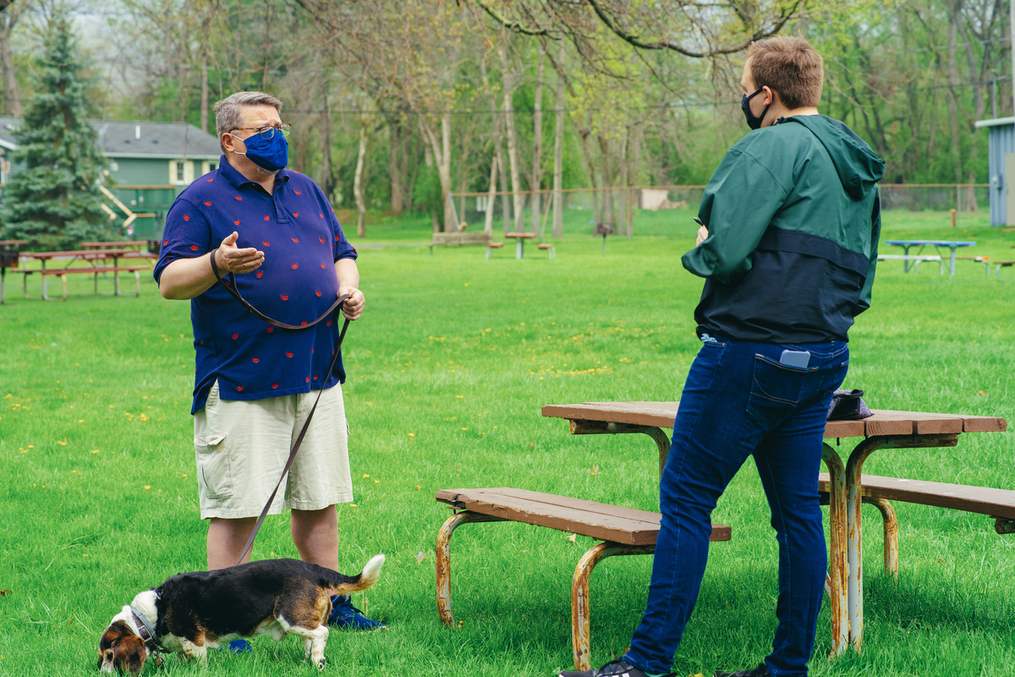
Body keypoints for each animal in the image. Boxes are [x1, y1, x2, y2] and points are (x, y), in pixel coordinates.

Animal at [97, 552, 383, 673]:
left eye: (110, 656)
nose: (102, 674)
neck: (149, 615)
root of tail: (313, 569)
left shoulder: (194, 642)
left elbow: (198, 662)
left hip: (290, 617)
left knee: (322, 633)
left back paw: (317, 663)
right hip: (301, 619)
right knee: (311, 639)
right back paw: (309, 661)